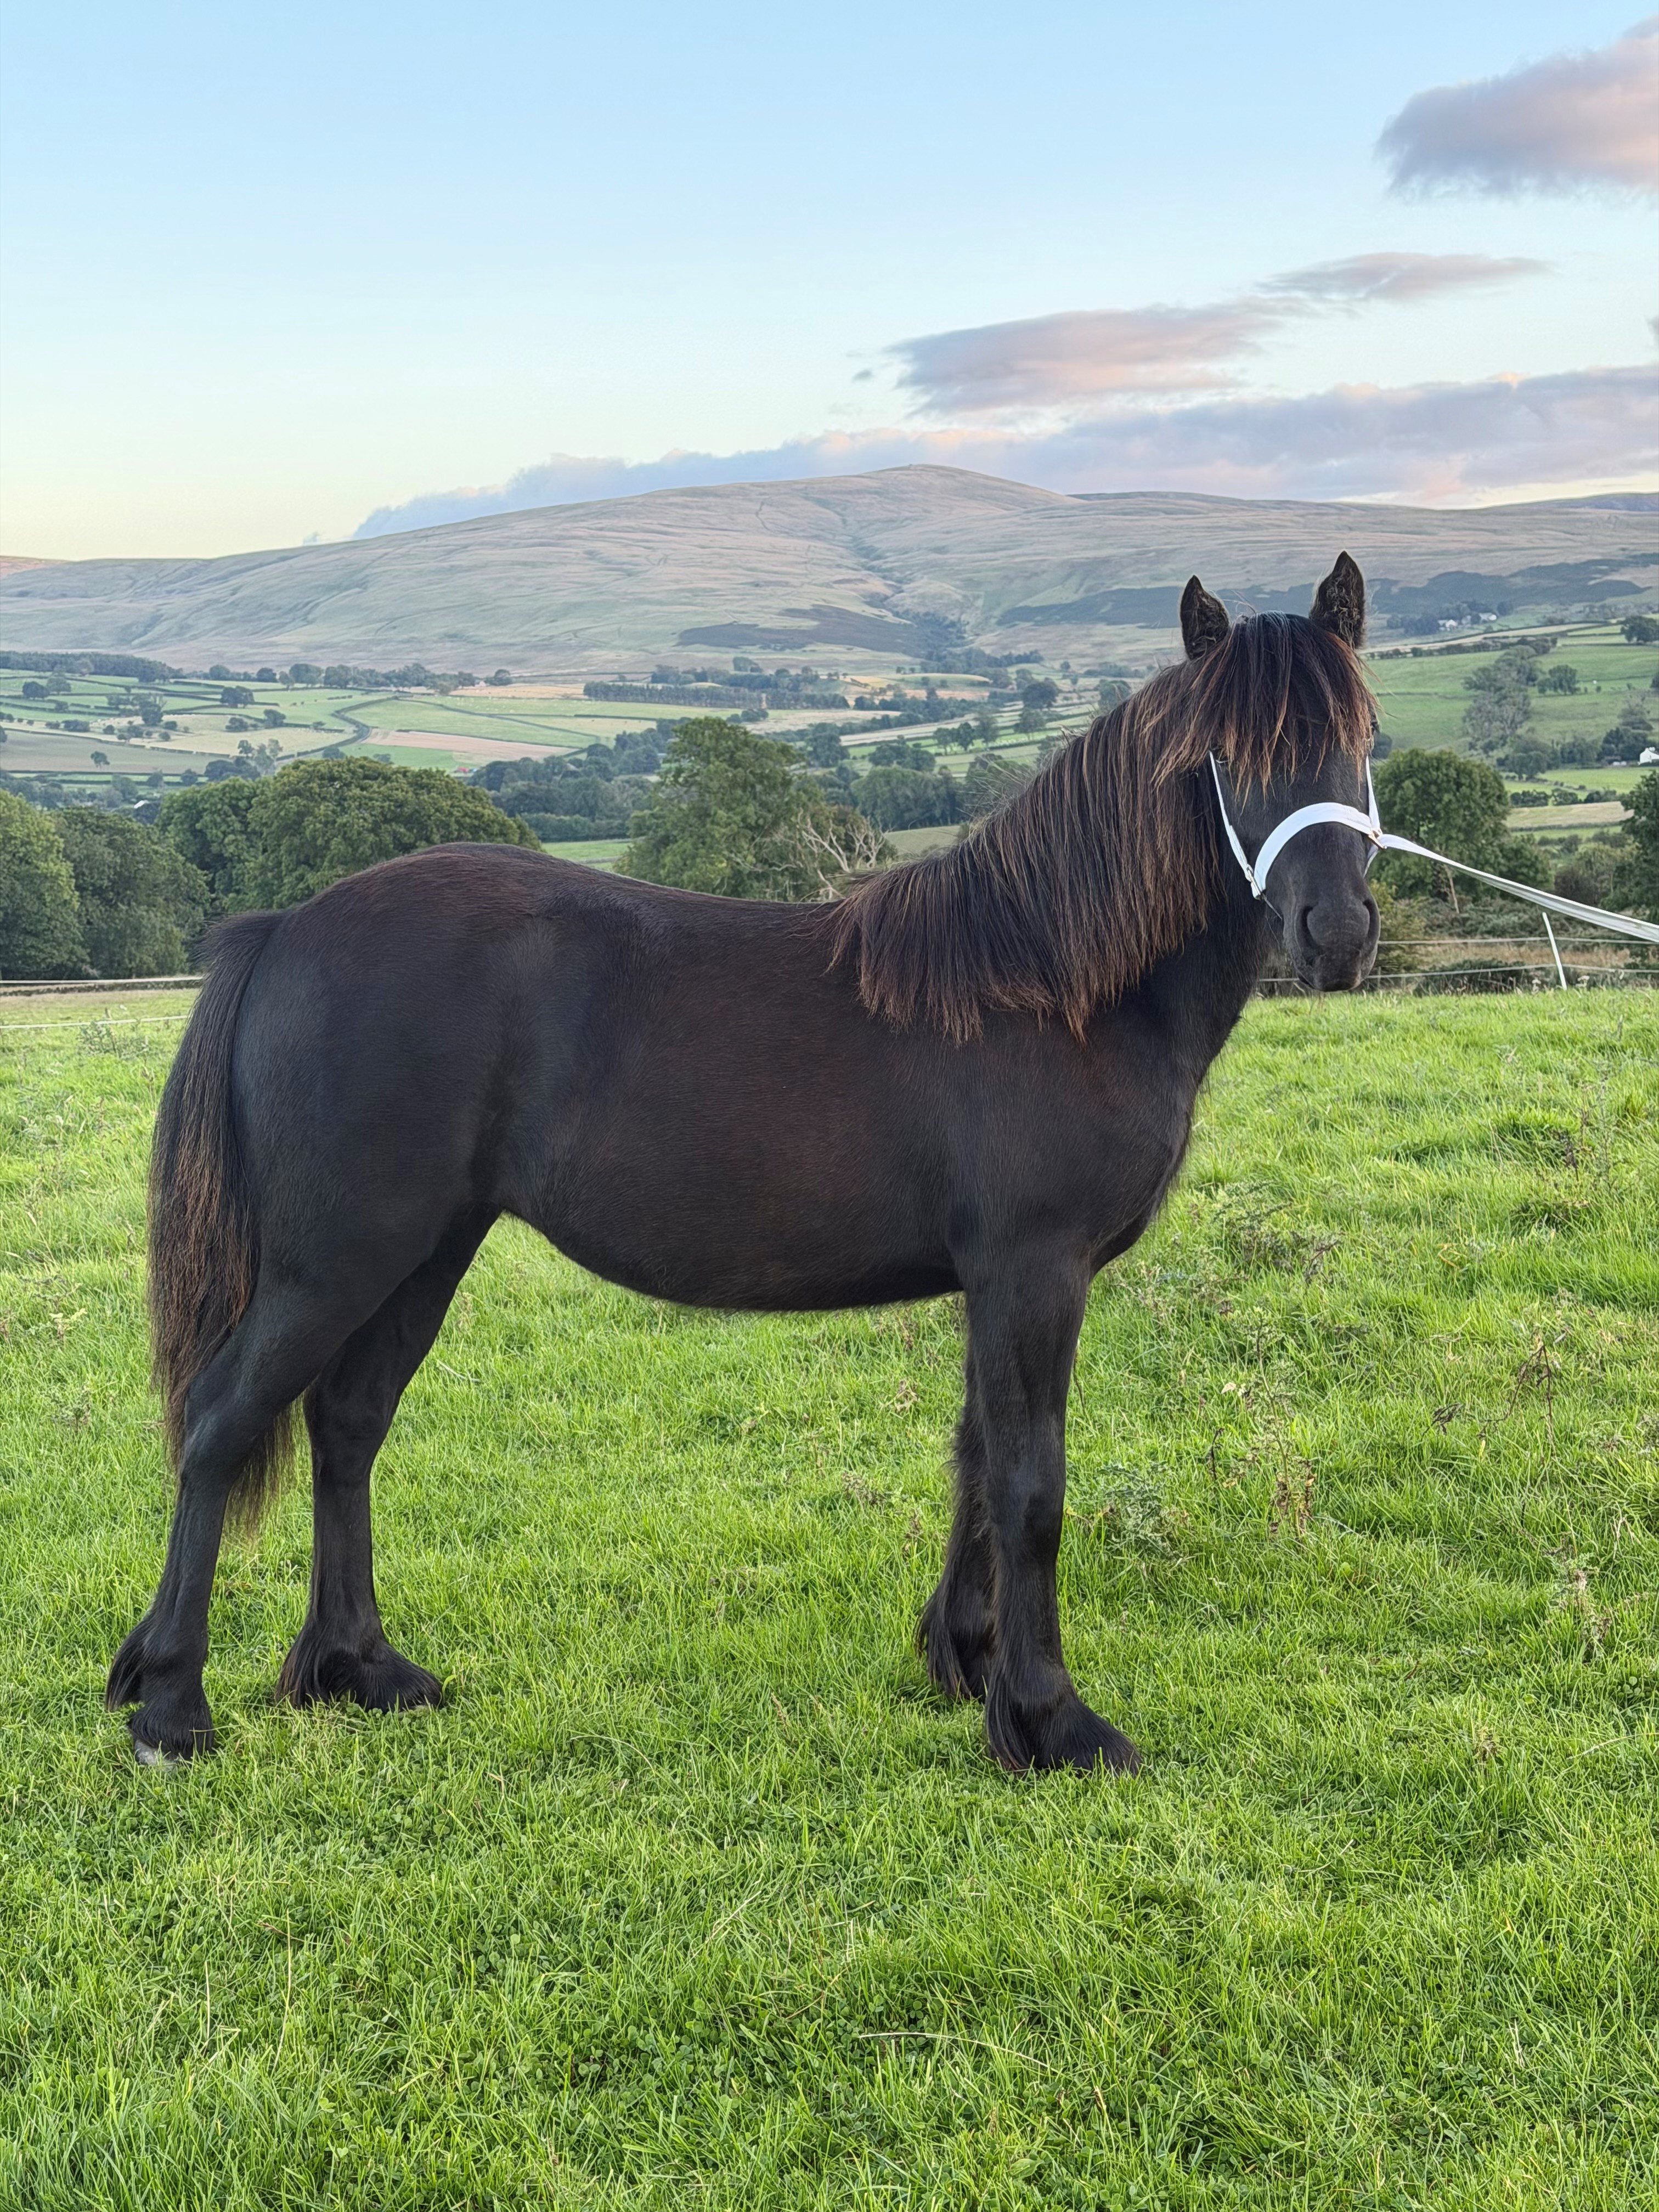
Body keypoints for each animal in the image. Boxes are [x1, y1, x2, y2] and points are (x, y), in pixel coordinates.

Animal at [108, 554, 1381, 1773]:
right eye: (1227, 755)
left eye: (1361, 737)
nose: (1336, 936)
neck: (1052, 986)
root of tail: (285, 929)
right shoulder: (1034, 1272)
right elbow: (1030, 1487)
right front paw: (1050, 1720)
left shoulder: (995, 1282)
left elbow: (975, 1458)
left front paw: (967, 1662)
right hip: (334, 1262)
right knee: (221, 1422)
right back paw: (171, 1706)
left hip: (421, 1253)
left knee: (348, 1426)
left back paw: (359, 1668)